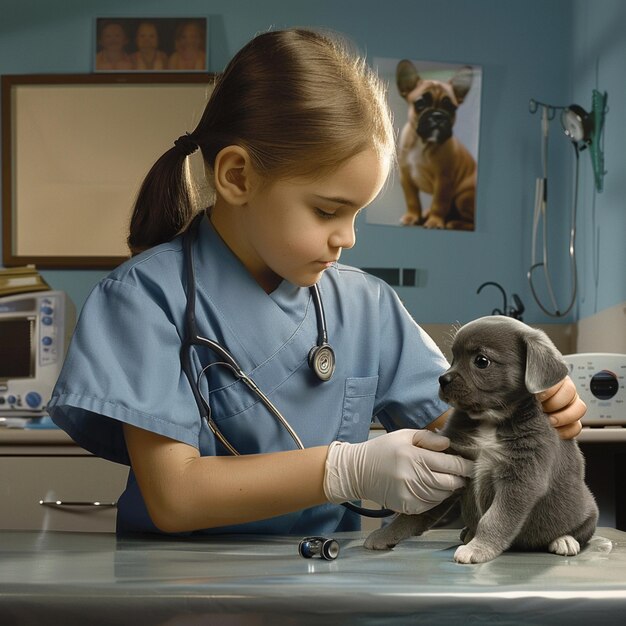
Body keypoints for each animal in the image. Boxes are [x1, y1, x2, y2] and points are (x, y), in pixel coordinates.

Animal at [364, 314, 596, 564]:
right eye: (453, 357)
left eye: (481, 361)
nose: (442, 379)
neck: (489, 421)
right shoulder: (449, 469)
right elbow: (414, 514)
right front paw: (385, 535)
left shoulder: (521, 478)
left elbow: (495, 519)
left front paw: (478, 548)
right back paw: (467, 532)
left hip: (588, 510)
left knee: (579, 532)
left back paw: (564, 540)